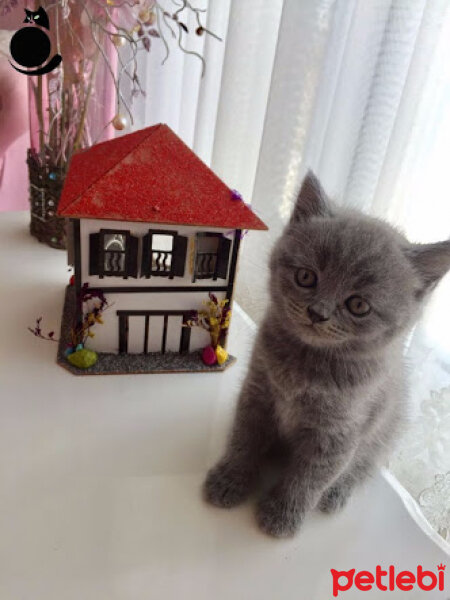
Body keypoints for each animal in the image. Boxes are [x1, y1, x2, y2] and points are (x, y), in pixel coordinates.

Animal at [203, 171, 450, 536]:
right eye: (306, 276)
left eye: (358, 305)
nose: (317, 313)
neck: (306, 363)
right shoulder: (258, 391)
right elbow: (244, 439)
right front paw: (229, 480)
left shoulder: (340, 430)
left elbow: (311, 476)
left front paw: (283, 514)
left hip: (386, 433)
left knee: (363, 466)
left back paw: (336, 494)